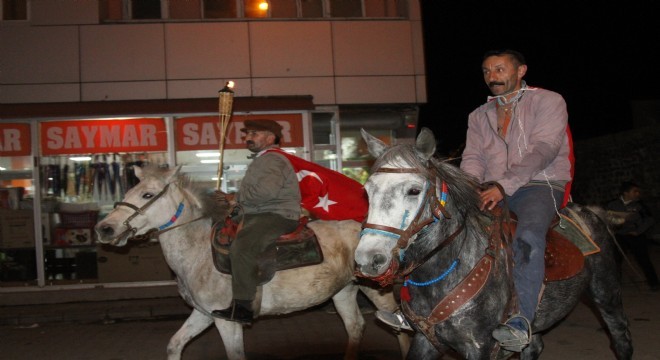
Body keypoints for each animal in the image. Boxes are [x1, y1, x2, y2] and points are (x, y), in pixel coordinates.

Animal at [95, 165, 410, 360]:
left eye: (147, 195)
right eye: (127, 193)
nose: (104, 229)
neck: (198, 251)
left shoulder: (227, 321)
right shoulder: (204, 314)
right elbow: (175, 345)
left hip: (376, 291)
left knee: (400, 328)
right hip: (344, 290)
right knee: (355, 327)